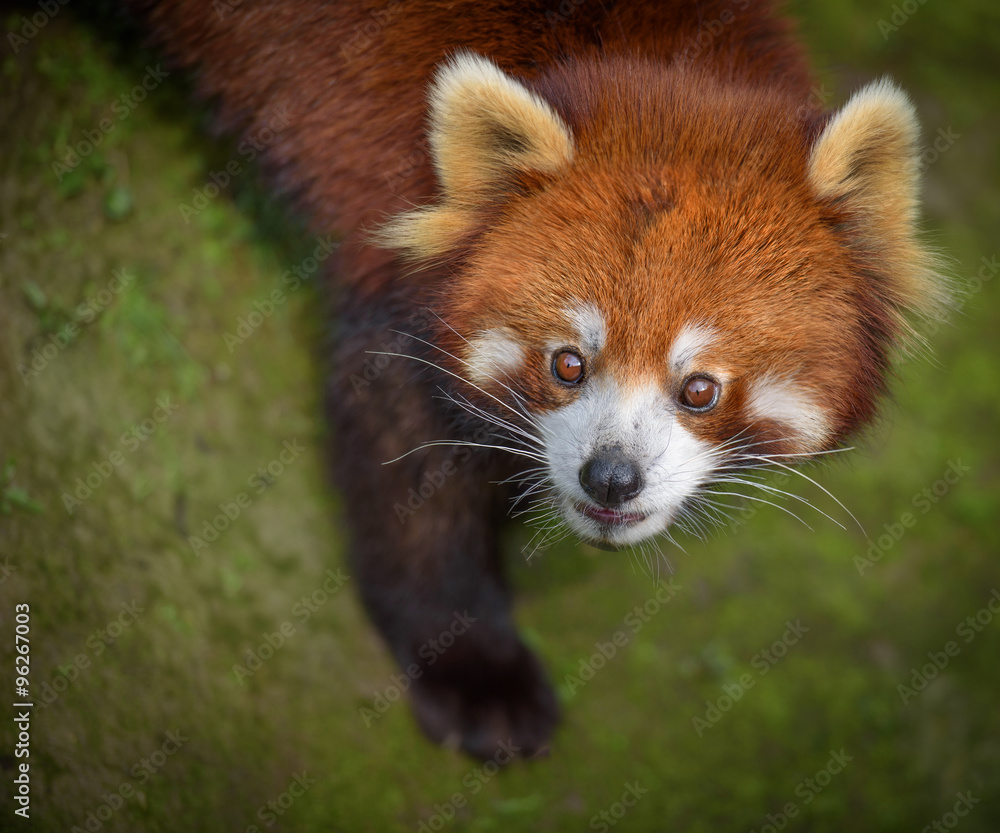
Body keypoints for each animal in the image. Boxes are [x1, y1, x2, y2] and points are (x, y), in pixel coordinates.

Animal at [141, 0, 944, 756]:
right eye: (568, 363)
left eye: (700, 389)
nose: (610, 478)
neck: (651, 59)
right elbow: (410, 486)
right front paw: (474, 667)